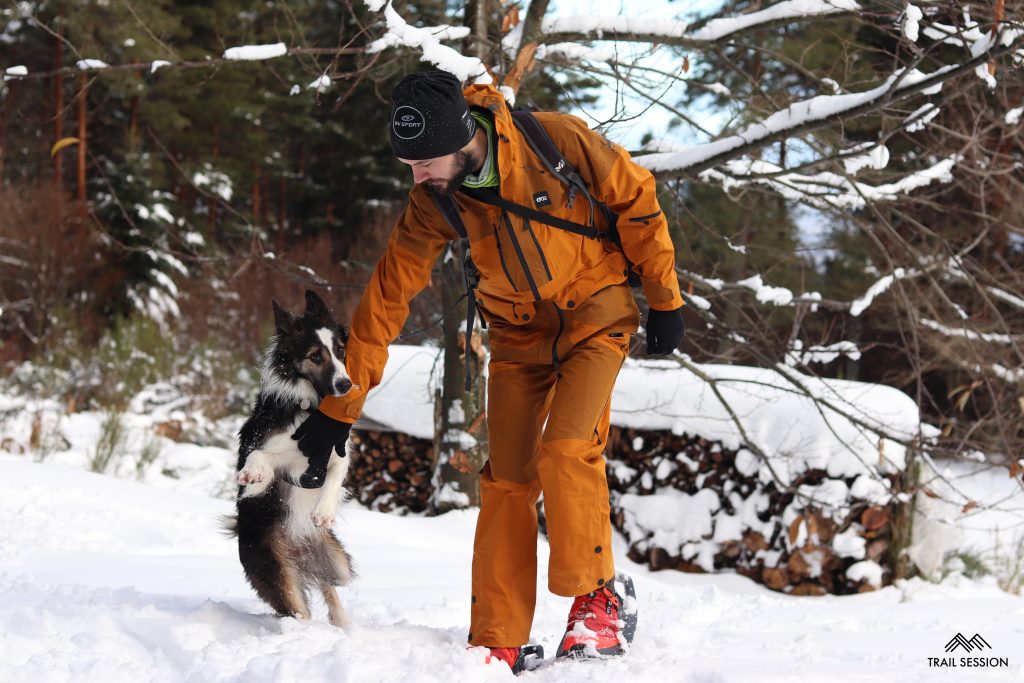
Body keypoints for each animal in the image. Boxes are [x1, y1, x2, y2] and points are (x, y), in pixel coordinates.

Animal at [225, 290, 356, 626]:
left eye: (340, 350)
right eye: (315, 356)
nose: (346, 385)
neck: (310, 410)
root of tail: (297, 553)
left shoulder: (335, 453)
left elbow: (335, 477)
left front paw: (323, 512)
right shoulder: (276, 457)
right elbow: (259, 457)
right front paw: (250, 473)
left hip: (334, 559)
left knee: (330, 590)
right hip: (278, 575)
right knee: (299, 609)